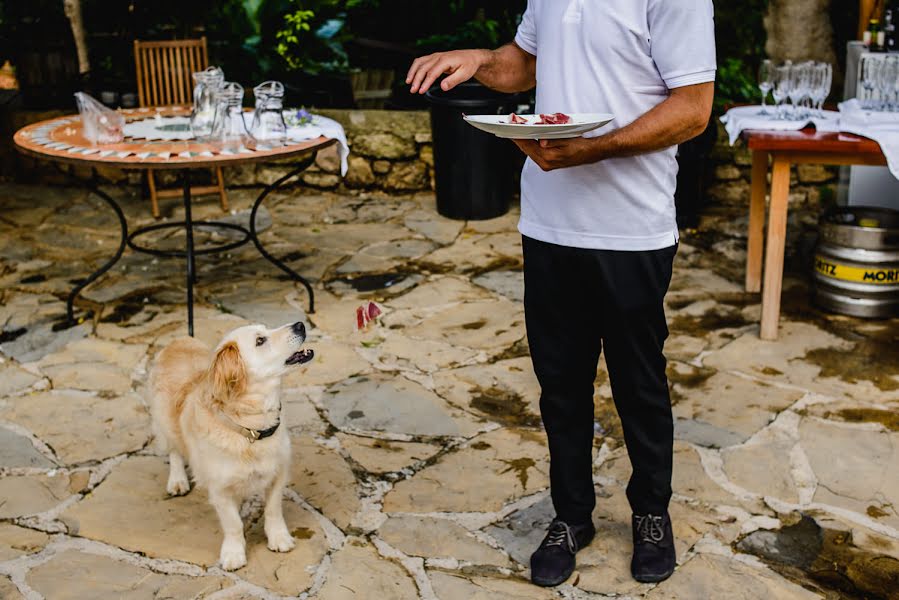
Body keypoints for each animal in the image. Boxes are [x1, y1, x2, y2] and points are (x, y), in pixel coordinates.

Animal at [148, 322, 312, 568]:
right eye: (260, 341)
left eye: (266, 329)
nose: (300, 324)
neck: (251, 429)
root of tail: (178, 340)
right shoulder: (220, 489)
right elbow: (233, 523)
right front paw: (234, 553)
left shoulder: (278, 473)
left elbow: (273, 509)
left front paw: (279, 537)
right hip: (164, 421)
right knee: (175, 450)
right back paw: (177, 480)